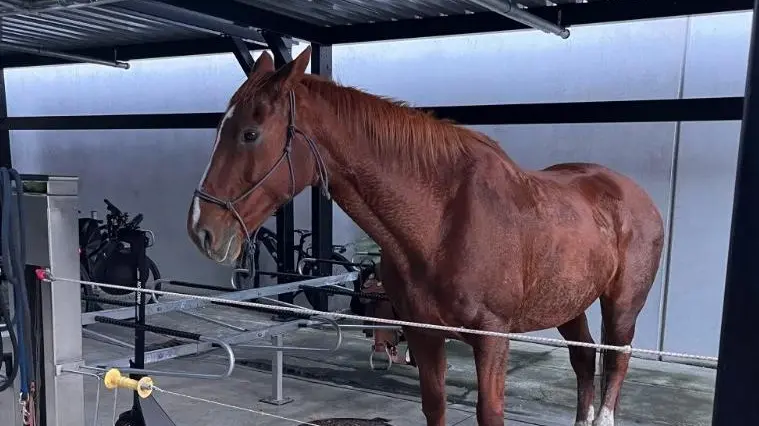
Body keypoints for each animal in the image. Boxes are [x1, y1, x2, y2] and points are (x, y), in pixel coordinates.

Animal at [187, 47, 665, 426]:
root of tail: (636, 196)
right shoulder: (424, 334)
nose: (201, 229)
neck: (442, 223)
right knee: (584, 360)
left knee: (616, 361)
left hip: (621, 306)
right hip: (570, 303)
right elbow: (434, 405)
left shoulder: (493, 339)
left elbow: (490, 413)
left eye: (250, 134)